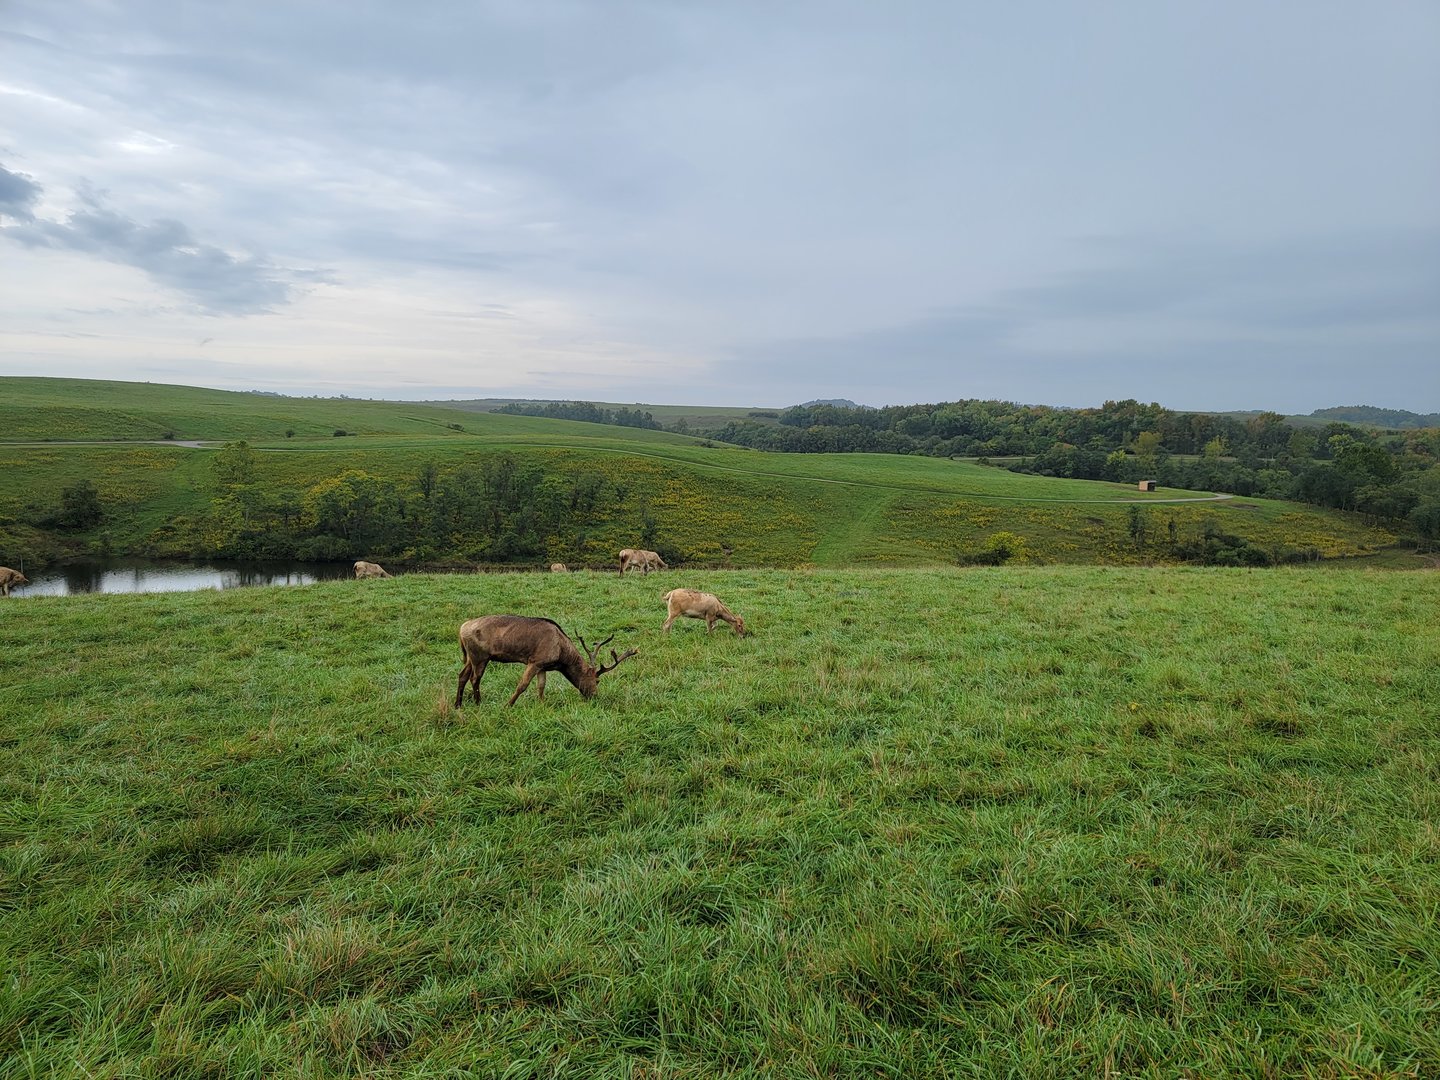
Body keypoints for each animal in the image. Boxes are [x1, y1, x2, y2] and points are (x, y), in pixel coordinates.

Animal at [455, 615, 638, 707]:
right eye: (597, 680)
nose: (594, 696)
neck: (561, 656)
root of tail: (461, 628)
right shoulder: (535, 660)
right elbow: (522, 685)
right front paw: (508, 705)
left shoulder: (543, 666)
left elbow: (541, 686)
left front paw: (542, 705)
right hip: (480, 656)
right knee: (475, 678)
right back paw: (478, 703)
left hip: (470, 657)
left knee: (462, 675)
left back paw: (458, 704)